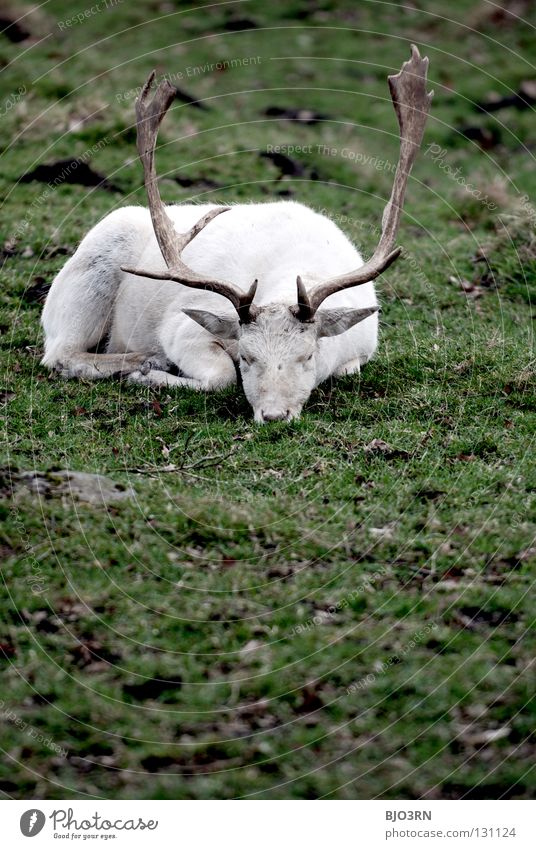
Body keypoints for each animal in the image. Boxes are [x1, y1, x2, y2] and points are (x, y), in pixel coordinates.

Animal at [40, 44, 432, 422]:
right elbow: (222, 376)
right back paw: (140, 361)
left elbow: (347, 370)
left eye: (307, 356)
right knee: (61, 354)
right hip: (91, 271)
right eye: (246, 356)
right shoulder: (182, 327)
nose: (274, 415)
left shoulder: (362, 349)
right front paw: (149, 374)